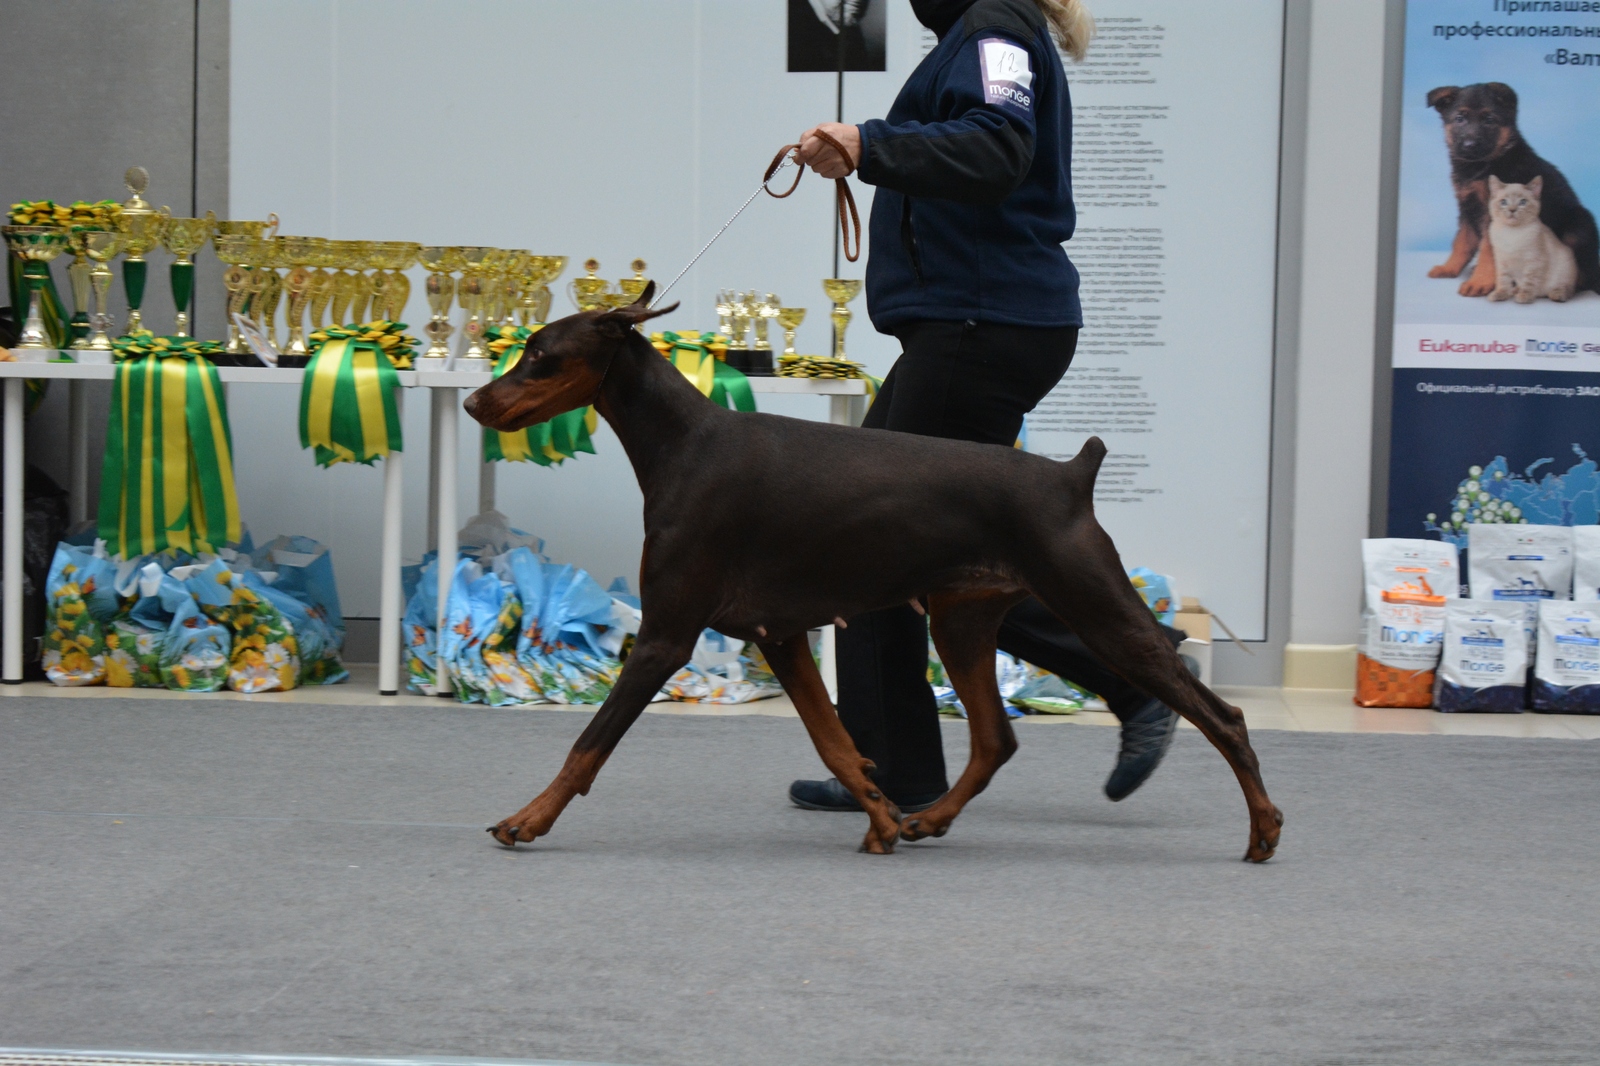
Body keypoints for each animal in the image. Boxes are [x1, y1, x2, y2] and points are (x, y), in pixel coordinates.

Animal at [467, 286, 1286, 857]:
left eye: (538, 353)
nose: (474, 399)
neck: (682, 445)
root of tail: (1069, 475)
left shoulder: (668, 634)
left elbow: (589, 743)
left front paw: (525, 819)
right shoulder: (781, 634)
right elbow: (834, 740)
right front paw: (881, 817)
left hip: (1094, 606)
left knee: (1222, 716)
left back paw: (1264, 829)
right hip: (962, 620)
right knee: (996, 739)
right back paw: (928, 820)